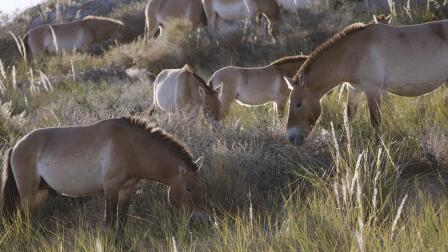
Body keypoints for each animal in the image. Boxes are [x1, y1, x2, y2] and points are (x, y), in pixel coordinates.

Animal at [0, 117, 204, 229]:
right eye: (189, 188)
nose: (198, 218)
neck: (132, 146)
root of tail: (16, 146)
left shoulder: (127, 189)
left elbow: (122, 220)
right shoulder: (111, 187)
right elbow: (109, 220)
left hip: (40, 194)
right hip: (28, 193)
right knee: (22, 218)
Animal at [288, 21, 448, 146]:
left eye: (298, 104)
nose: (291, 138)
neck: (354, 53)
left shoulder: (373, 90)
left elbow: (375, 121)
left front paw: (379, 150)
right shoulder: (354, 89)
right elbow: (348, 118)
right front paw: (343, 147)